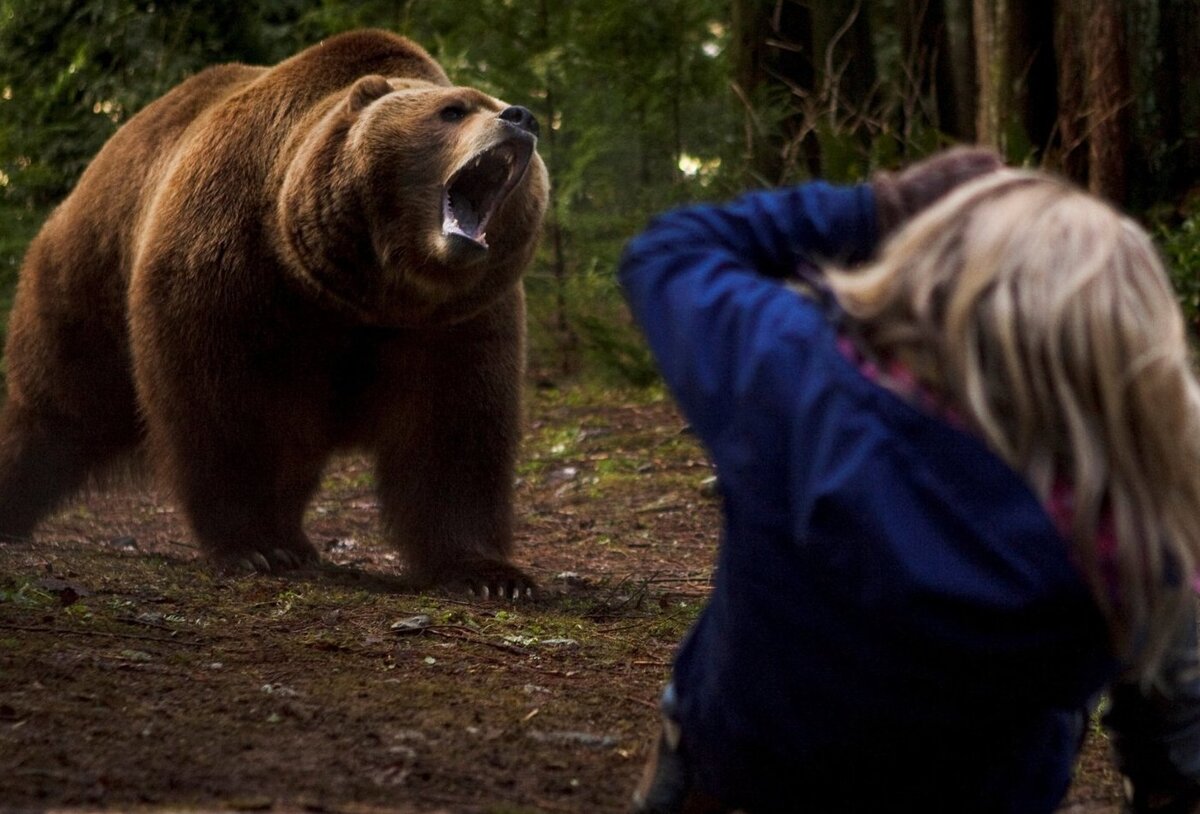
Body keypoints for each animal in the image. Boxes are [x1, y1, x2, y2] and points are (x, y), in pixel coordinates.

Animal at [0, 30, 549, 600]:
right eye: (453, 109)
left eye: (492, 103)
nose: (522, 117)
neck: (368, 290)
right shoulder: (236, 270)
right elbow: (227, 407)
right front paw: (256, 546)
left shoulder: (455, 322)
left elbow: (454, 434)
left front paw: (492, 575)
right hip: (90, 277)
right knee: (58, 407)